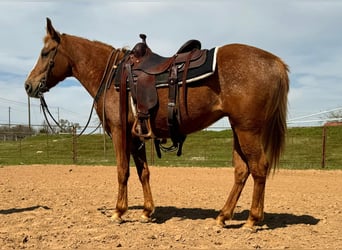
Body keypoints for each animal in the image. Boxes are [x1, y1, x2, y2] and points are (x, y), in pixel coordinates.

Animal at [24, 18, 288, 230]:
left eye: (46, 53)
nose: (28, 85)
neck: (112, 76)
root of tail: (275, 62)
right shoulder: (136, 137)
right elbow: (144, 172)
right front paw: (147, 211)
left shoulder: (120, 132)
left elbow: (122, 171)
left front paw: (118, 212)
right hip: (238, 129)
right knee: (242, 170)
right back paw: (223, 216)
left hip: (247, 129)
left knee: (259, 167)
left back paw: (253, 219)